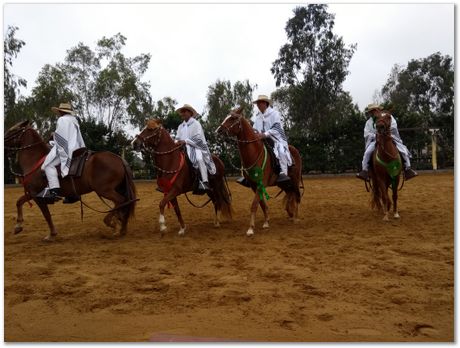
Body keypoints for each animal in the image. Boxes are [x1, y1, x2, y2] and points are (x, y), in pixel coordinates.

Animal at [4, 121, 137, 241]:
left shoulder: (37, 195)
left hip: (105, 190)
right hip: (115, 188)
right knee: (124, 202)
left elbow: (46, 215)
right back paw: (122, 228)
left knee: (121, 201)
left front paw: (52, 234)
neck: (35, 160)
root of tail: (119, 158)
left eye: (12, 131)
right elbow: (19, 202)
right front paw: (18, 226)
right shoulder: (32, 193)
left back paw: (112, 222)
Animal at [217, 107, 304, 235]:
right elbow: (262, 203)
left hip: (295, 180)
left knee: (297, 195)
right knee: (290, 194)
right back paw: (291, 213)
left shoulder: (259, 183)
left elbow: (254, 204)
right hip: (284, 183)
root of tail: (295, 151)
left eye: (233, 118)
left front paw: (251, 228)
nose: (218, 131)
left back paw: (296, 218)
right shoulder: (254, 185)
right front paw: (266, 221)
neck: (254, 153)